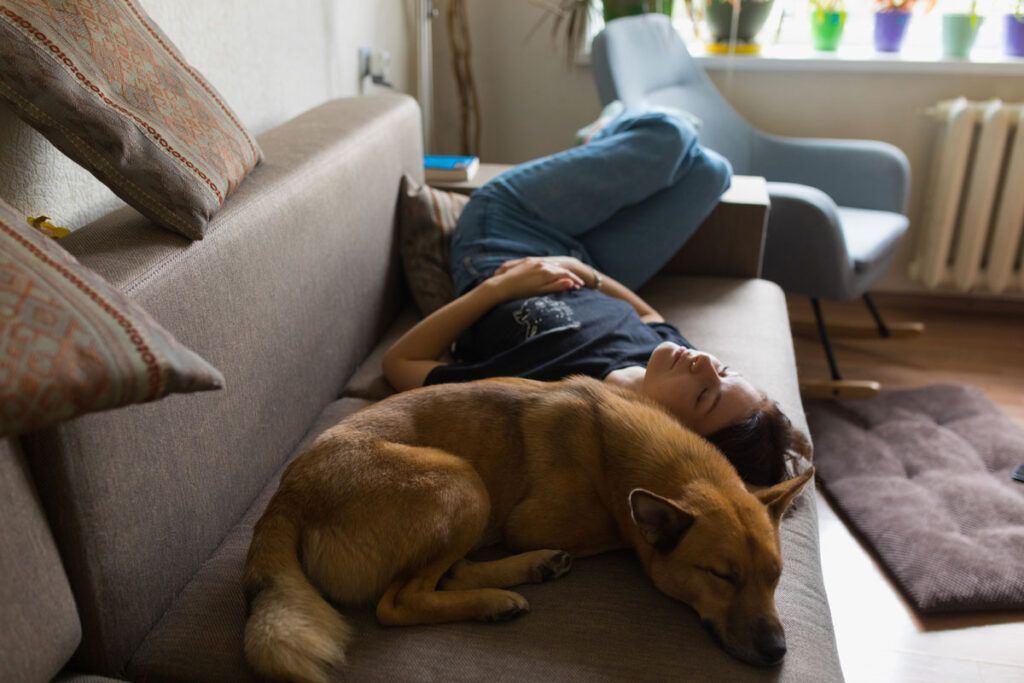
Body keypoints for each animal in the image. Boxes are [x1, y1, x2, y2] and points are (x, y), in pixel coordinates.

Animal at [243, 376, 811, 679]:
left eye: (776, 578)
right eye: (722, 577)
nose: (778, 652)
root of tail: (288, 495)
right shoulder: (552, 523)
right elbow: (616, 534)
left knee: (448, 574)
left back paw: (529, 572)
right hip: (462, 482)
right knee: (400, 602)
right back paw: (495, 600)